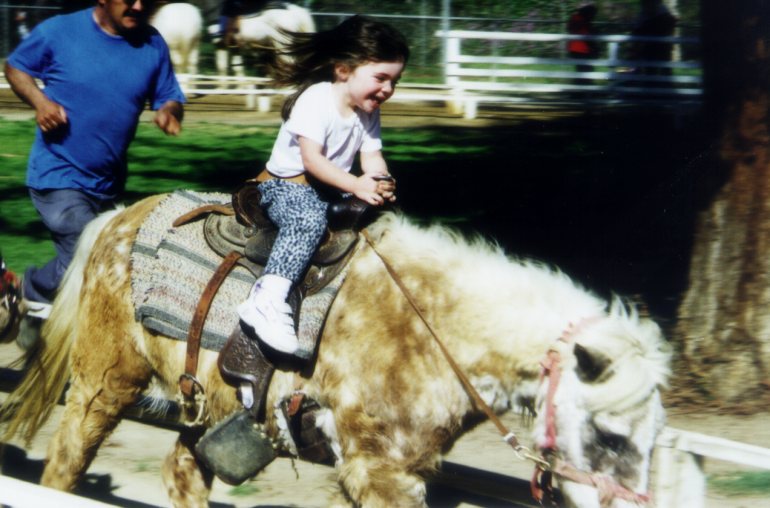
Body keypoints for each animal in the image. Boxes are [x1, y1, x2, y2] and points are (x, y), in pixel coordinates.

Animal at [0, 193, 671, 507]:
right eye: (611, 436)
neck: (432, 328)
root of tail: (118, 217)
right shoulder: (380, 472)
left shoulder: (399, 471)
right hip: (103, 383)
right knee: (64, 466)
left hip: (208, 410)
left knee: (182, 473)